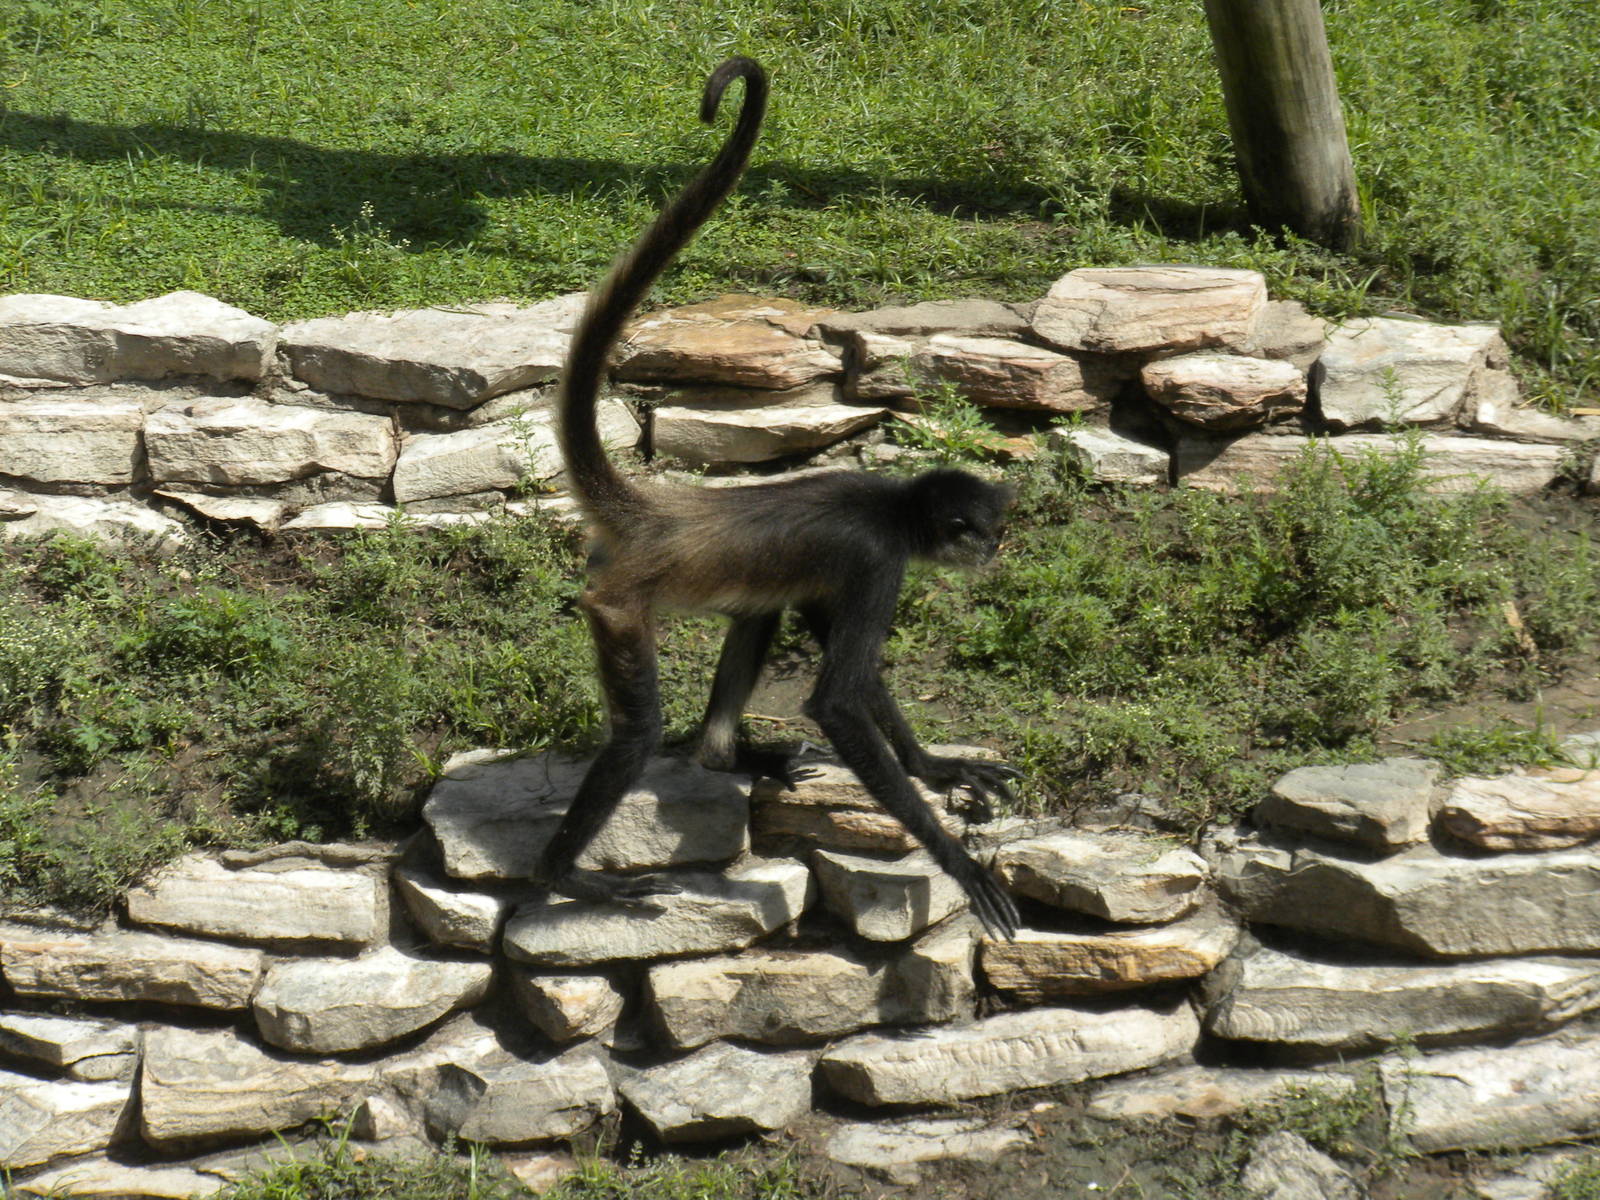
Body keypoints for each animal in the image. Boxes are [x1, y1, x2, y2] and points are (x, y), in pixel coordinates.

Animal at [536, 57, 1022, 940]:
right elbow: (837, 700)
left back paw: (725, 753)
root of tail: (660, 510)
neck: (893, 503)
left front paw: (935, 765)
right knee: (637, 731)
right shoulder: (878, 559)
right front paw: (959, 864)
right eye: (986, 533)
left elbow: (851, 667)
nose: (996, 554)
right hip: (618, 603)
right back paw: (562, 873)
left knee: (759, 616)